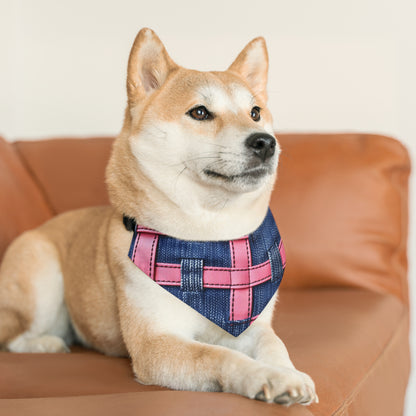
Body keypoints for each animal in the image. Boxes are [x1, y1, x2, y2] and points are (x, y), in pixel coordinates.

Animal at [0, 27, 316, 404]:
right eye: (200, 112)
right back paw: (47, 343)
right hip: (41, 276)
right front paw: (267, 377)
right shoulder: (155, 343)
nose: (266, 142)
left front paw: (289, 372)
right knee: (14, 336)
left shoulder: (252, 324)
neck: (210, 240)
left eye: (255, 112)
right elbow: (221, 356)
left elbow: (274, 344)